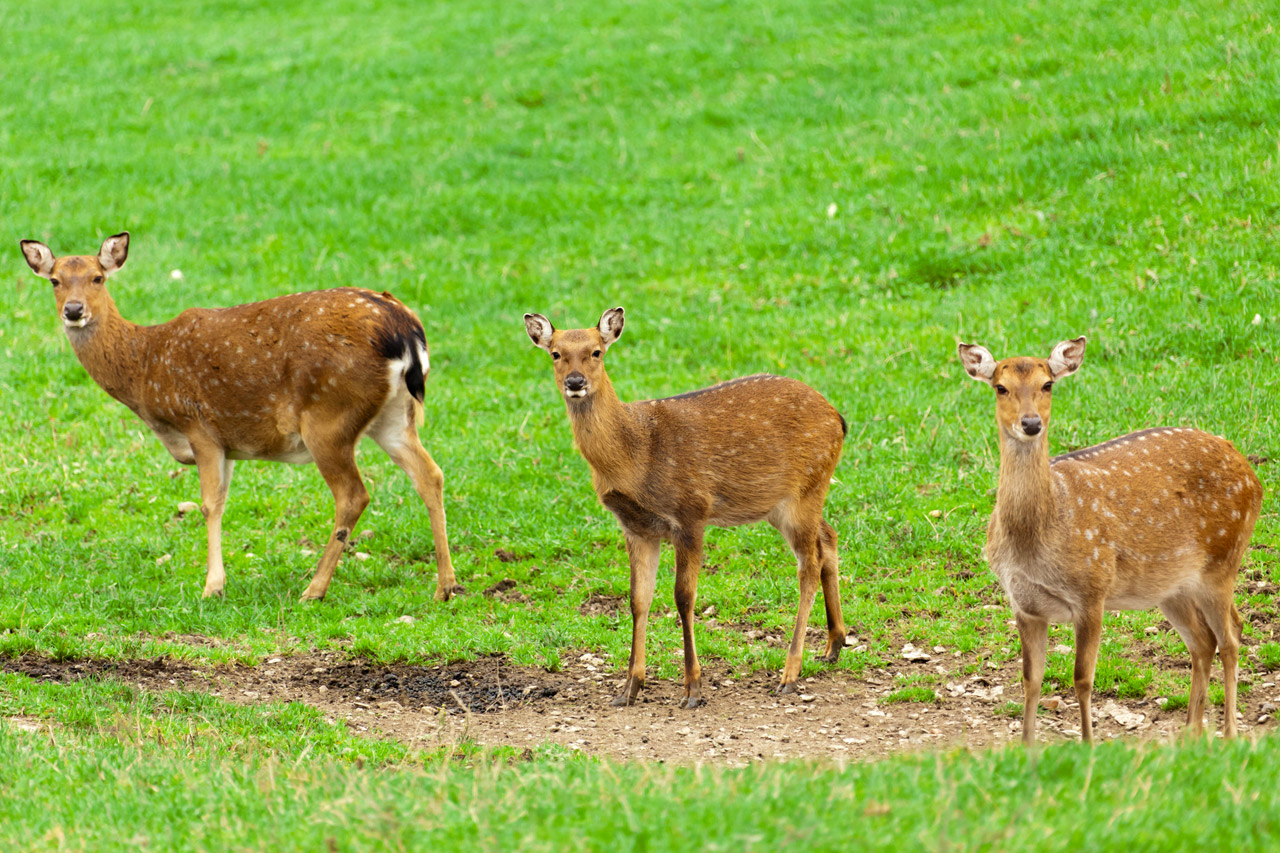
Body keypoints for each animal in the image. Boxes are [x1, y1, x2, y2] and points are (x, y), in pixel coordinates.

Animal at [21, 233, 460, 601]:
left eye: (97, 278)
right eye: (55, 280)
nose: (74, 310)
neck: (145, 370)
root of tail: (406, 329)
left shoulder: (199, 426)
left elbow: (208, 504)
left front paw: (212, 586)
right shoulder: (228, 442)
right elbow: (221, 501)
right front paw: (217, 581)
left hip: (328, 417)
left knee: (354, 494)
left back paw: (314, 590)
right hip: (394, 417)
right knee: (430, 474)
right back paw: (446, 586)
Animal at [524, 308, 844, 706]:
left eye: (596, 351)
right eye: (555, 353)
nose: (575, 381)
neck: (635, 456)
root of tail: (840, 420)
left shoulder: (691, 512)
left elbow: (683, 597)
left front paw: (693, 687)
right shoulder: (636, 527)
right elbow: (638, 599)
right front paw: (628, 688)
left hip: (806, 489)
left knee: (808, 565)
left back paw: (789, 674)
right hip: (789, 501)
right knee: (828, 537)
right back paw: (833, 645)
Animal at [957, 335, 1264, 742]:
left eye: (1047, 384)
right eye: (1000, 387)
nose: (1031, 423)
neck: (1034, 543)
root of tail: (1254, 477)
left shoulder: (1092, 589)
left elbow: (1082, 678)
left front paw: (1089, 744)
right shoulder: (1024, 605)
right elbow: (1030, 680)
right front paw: (1026, 746)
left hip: (1223, 557)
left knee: (1231, 636)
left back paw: (1228, 734)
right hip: (1172, 586)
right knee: (1204, 641)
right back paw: (1190, 734)